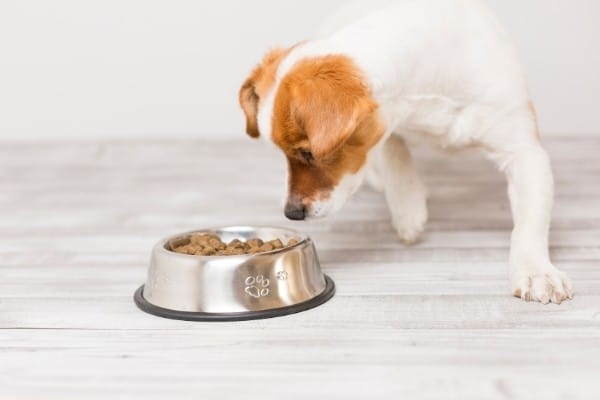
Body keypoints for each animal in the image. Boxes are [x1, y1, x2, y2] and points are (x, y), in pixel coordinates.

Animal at [238, 0, 572, 304]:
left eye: (307, 154)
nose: (292, 213)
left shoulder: (525, 152)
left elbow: (529, 223)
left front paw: (537, 272)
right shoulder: (387, 126)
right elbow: (394, 153)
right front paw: (409, 209)